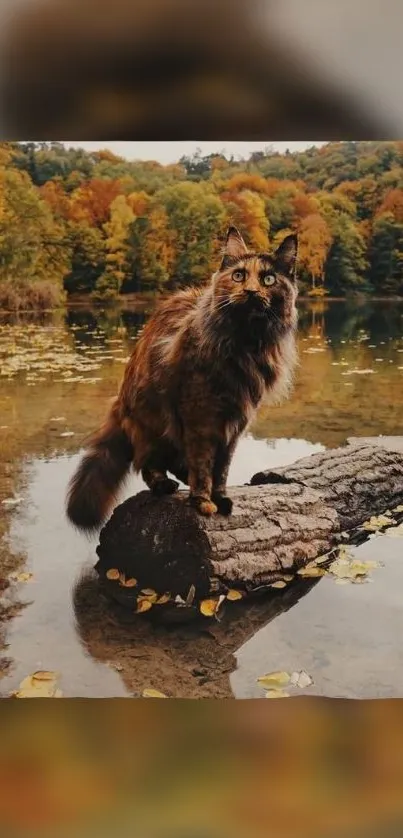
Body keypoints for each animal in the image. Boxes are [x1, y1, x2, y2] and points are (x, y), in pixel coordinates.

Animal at [67, 228, 300, 532]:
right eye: (238, 276)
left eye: (268, 279)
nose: (250, 291)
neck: (245, 343)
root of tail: (120, 405)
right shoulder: (199, 414)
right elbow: (202, 465)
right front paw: (202, 500)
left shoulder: (236, 420)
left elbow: (222, 468)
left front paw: (219, 497)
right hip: (151, 421)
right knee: (148, 463)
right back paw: (165, 484)